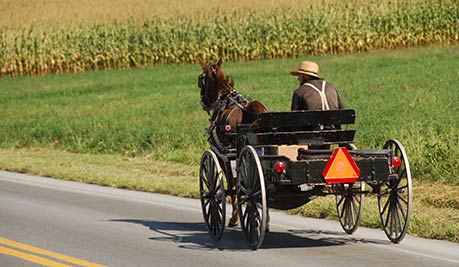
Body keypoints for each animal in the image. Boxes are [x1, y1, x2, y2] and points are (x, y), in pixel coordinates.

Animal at [199, 57, 270, 227]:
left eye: (201, 80)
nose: (203, 101)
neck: (223, 98)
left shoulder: (222, 155)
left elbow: (232, 185)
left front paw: (234, 218)